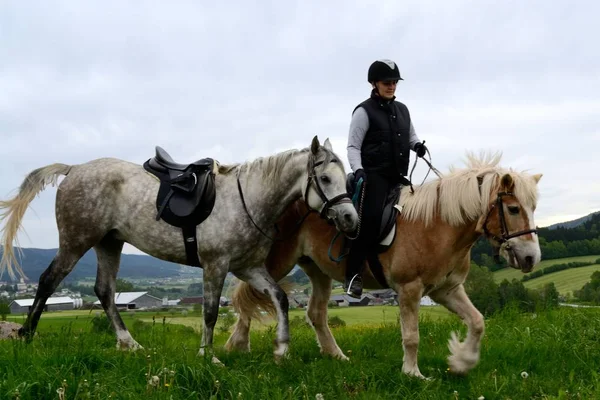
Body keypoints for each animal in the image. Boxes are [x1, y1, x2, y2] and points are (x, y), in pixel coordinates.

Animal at [0, 135, 356, 362]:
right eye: (325, 179)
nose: (350, 218)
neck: (249, 199)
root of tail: (73, 169)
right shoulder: (215, 265)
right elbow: (210, 313)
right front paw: (207, 357)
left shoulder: (248, 268)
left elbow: (279, 298)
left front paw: (281, 349)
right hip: (76, 241)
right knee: (49, 280)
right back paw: (27, 335)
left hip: (109, 243)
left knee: (104, 291)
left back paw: (130, 344)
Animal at [226, 152, 544, 376]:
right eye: (513, 209)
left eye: (533, 208)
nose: (531, 258)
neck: (438, 225)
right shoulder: (409, 289)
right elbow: (411, 335)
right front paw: (413, 373)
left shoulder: (447, 290)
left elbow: (477, 322)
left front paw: (461, 362)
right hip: (277, 262)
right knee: (246, 296)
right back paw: (237, 346)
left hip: (318, 270)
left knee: (315, 313)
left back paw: (336, 356)